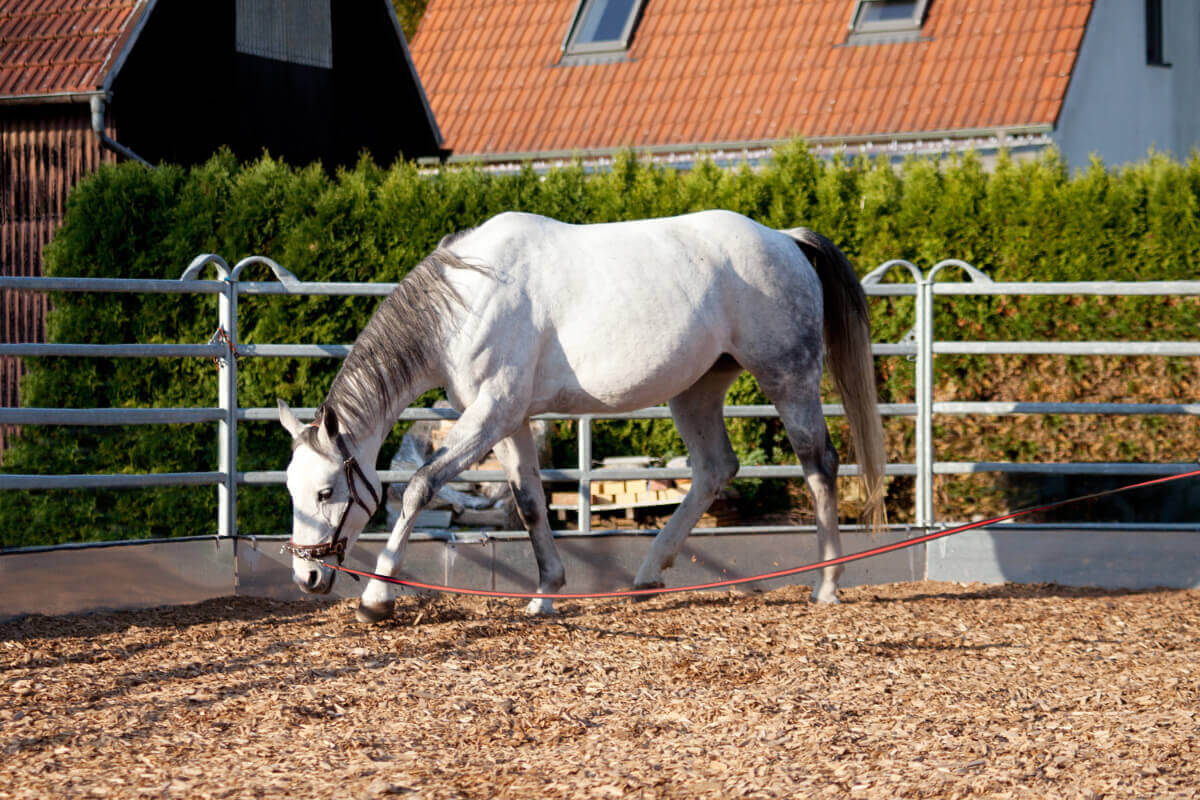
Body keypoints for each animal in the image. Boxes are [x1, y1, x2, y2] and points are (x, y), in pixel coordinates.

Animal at [278, 210, 886, 621]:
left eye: (327, 492)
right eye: (290, 489)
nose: (306, 575)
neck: (466, 301)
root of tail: (786, 240)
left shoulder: (491, 414)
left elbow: (420, 487)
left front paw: (376, 598)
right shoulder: (509, 421)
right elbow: (529, 502)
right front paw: (546, 594)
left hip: (789, 377)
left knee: (819, 463)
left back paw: (827, 584)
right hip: (696, 390)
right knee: (716, 469)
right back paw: (646, 577)